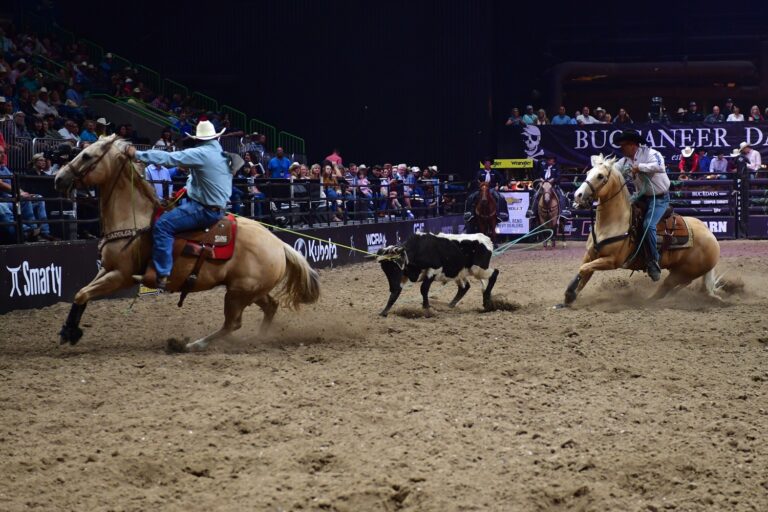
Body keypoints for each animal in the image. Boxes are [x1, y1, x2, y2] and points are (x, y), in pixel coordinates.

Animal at [53, 135, 318, 352]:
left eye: (86, 156)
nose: (58, 178)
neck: (135, 219)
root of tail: (279, 245)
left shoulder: (122, 275)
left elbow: (83, 293)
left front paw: (70, 332)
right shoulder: (106, 269)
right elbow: (81, 293)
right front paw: (68, 331)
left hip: (239, 293)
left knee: (233, 323)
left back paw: (190, 345)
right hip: (251, 290)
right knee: (270, 307)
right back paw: (259, 338)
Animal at [560, 152, 724, 304]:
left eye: (600, 176)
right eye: (588, 172)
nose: (578, 195)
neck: (612, 223)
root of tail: (711, 236)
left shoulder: (612, 261)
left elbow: (583, 269)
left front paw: (570, 294)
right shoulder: (590, 254)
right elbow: (583, 273)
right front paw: (569, 295)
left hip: (682, 273)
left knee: (665, 287)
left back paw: (647, 300)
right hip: (679, 270)